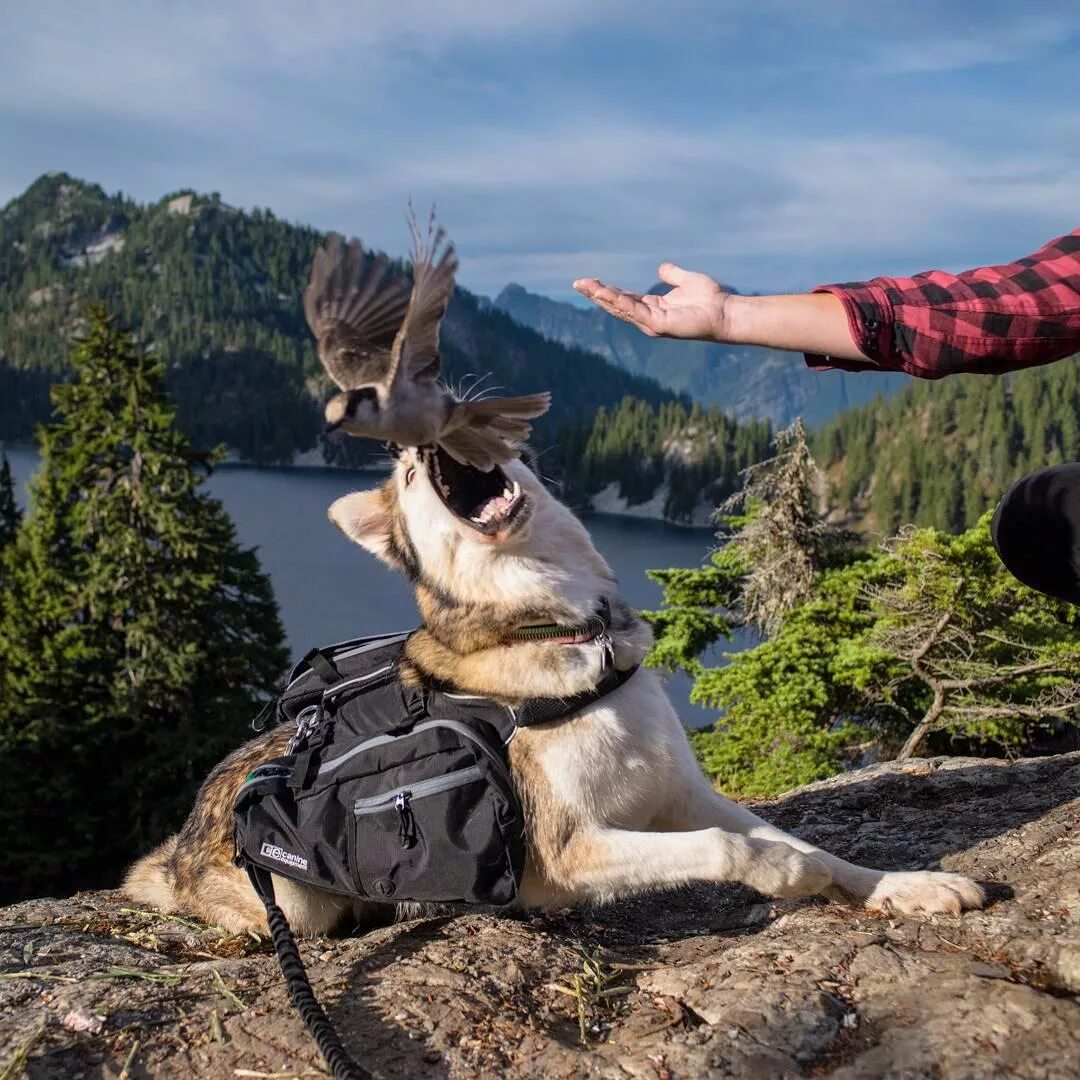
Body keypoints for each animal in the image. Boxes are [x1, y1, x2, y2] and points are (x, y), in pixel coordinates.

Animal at [126, 442, 989, 933]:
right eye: (405, 472)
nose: (417, 427)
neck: (573, 635)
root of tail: (176, 844)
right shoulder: (569, 852)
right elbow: (733, 848)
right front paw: (787, 878)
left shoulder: (681, 792)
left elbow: (805, 842)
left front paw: (904, 886)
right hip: (295, 906)